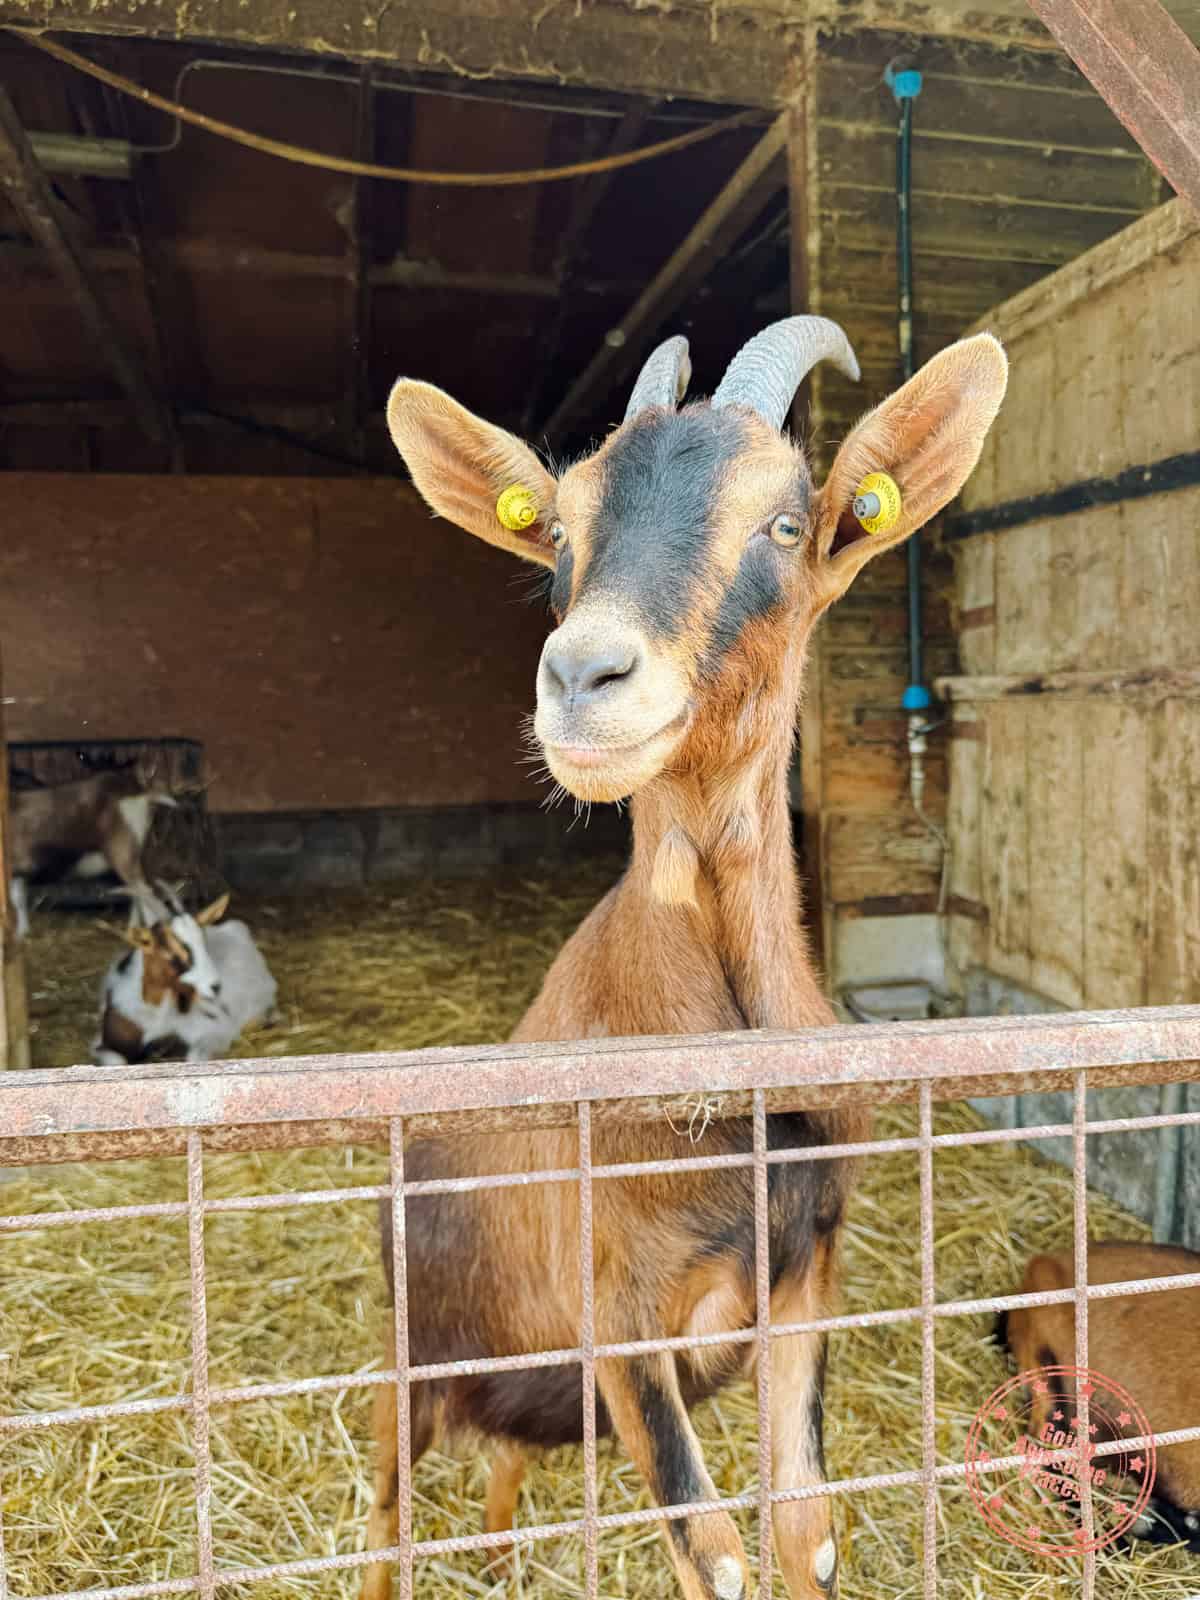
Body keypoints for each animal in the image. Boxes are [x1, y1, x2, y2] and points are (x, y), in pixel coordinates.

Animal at [9, 763, 175, 937]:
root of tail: (139, 792)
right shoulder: (19, 871)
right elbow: (18, 898)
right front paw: (22, 932)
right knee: (138, 892)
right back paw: (133, 928)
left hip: (122, 853)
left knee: (146, 892)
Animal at [92, 886, 278, 1065]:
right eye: (171, 954)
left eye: (204, 944)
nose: (215, 986)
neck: (153, 1016)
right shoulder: (103, 1045)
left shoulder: (215, 1033)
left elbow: (194, 1056)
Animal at [363, 318, 1007, 1600]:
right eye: (561, 529)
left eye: (787, 523)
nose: (584, 677)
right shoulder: (622, 1315)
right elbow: (714, 1552)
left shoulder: (804, 1276)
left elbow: (804, 1525)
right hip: (417, 1364)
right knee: (384, 1515)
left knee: (500, 1459)